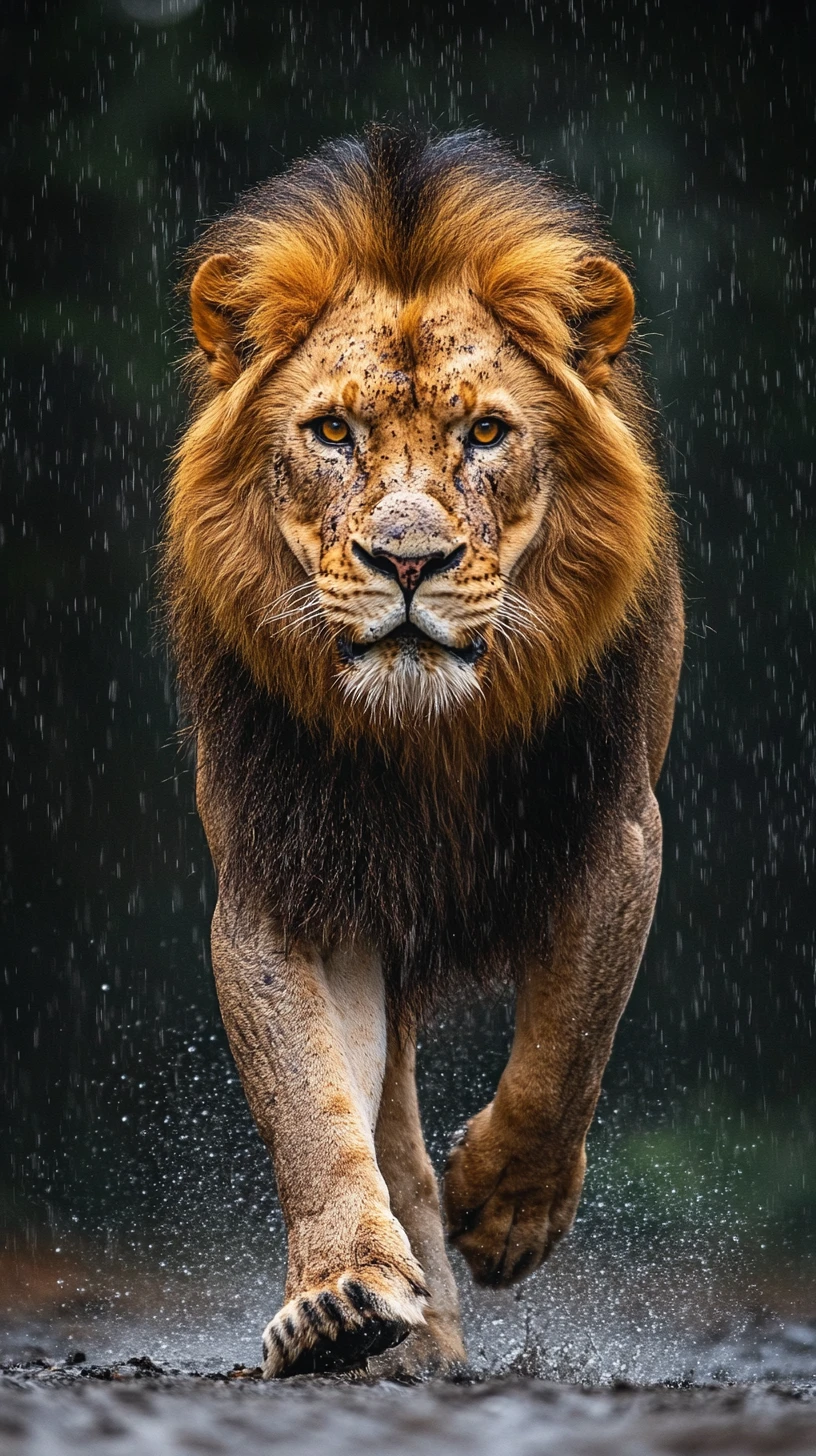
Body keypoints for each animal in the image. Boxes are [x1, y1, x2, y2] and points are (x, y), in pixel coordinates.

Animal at [164, 125, 683, 1379]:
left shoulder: (616, 829)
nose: (409, 560)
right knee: (385, 1116)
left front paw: (505, 1211)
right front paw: (343, 1294)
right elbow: (314, 1106)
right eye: (332, 432)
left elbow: (568, 1039)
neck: (424, 739)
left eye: (485, 433)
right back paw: (412, 1324)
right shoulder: (292, 881)